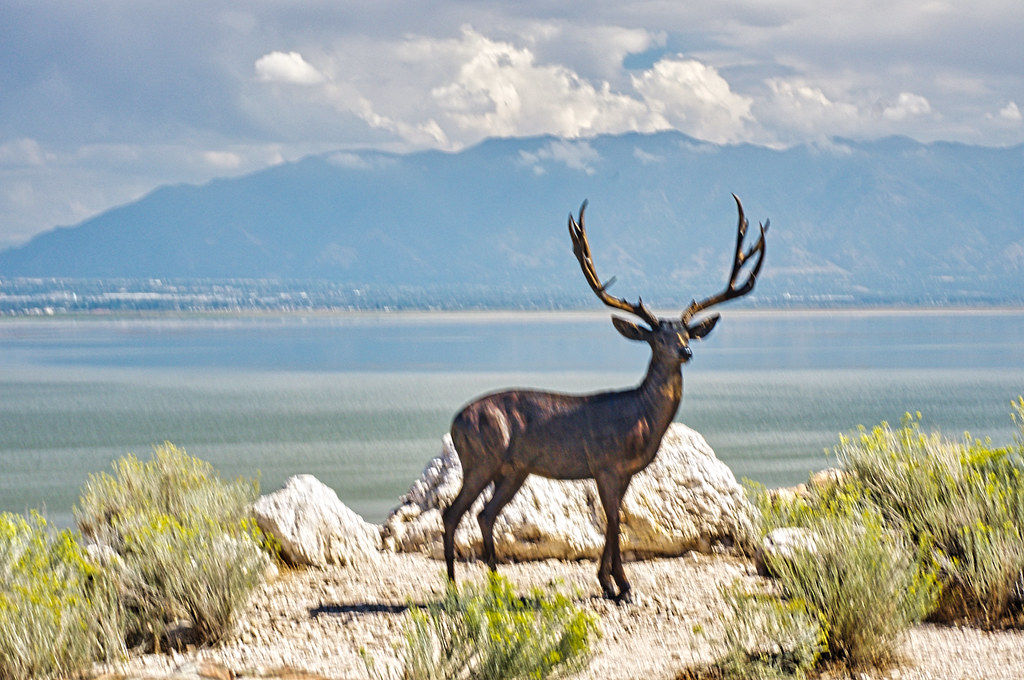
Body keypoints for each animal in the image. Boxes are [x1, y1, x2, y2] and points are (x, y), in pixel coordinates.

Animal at [443, 194, 768, 603]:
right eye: (657, 337)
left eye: (686, 334)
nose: (686, 352)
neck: (640, 418)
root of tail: (455, 421)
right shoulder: (606, 464)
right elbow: (613, 522)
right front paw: (621, 585)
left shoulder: (623, 471)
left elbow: (616, 520)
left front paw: (608, 582)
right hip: (481, 459)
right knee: (453, 513)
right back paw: (453, 587)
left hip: (513, 469)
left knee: (485, 514)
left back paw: (497, 585)